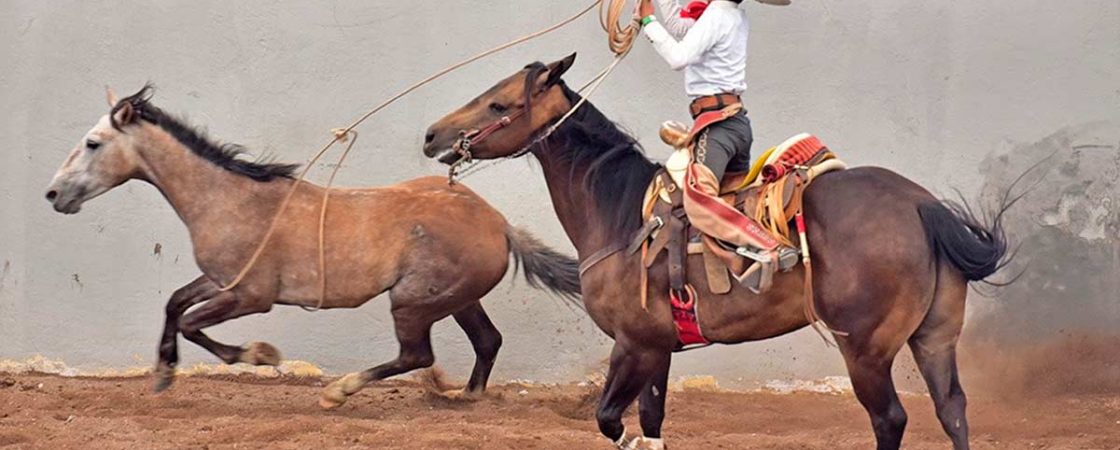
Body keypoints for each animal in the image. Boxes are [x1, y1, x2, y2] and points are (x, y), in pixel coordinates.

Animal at [47, 86, 582, 409]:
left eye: (93, 143)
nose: (54, 194)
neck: (228, 198)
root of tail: (500, 224)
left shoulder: (250, 296)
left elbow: (191, 322)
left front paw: (260, 355)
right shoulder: (221, 280)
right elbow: (175, 303)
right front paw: (163, 373)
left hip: (412, 303)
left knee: (417, 355)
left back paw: (338, 393)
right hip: (456, 299)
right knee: (486, 341)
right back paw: (465, 398)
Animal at [421, 53, 1016, 450]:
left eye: (499, 104)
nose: (432, 135)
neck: (619, 213)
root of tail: (921, 204)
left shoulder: (633, 345)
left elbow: (612, 420)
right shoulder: (658, 349)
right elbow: (652, 423)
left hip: (866, 350)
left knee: (890, 419)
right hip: (934, 337)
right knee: (952, 410)